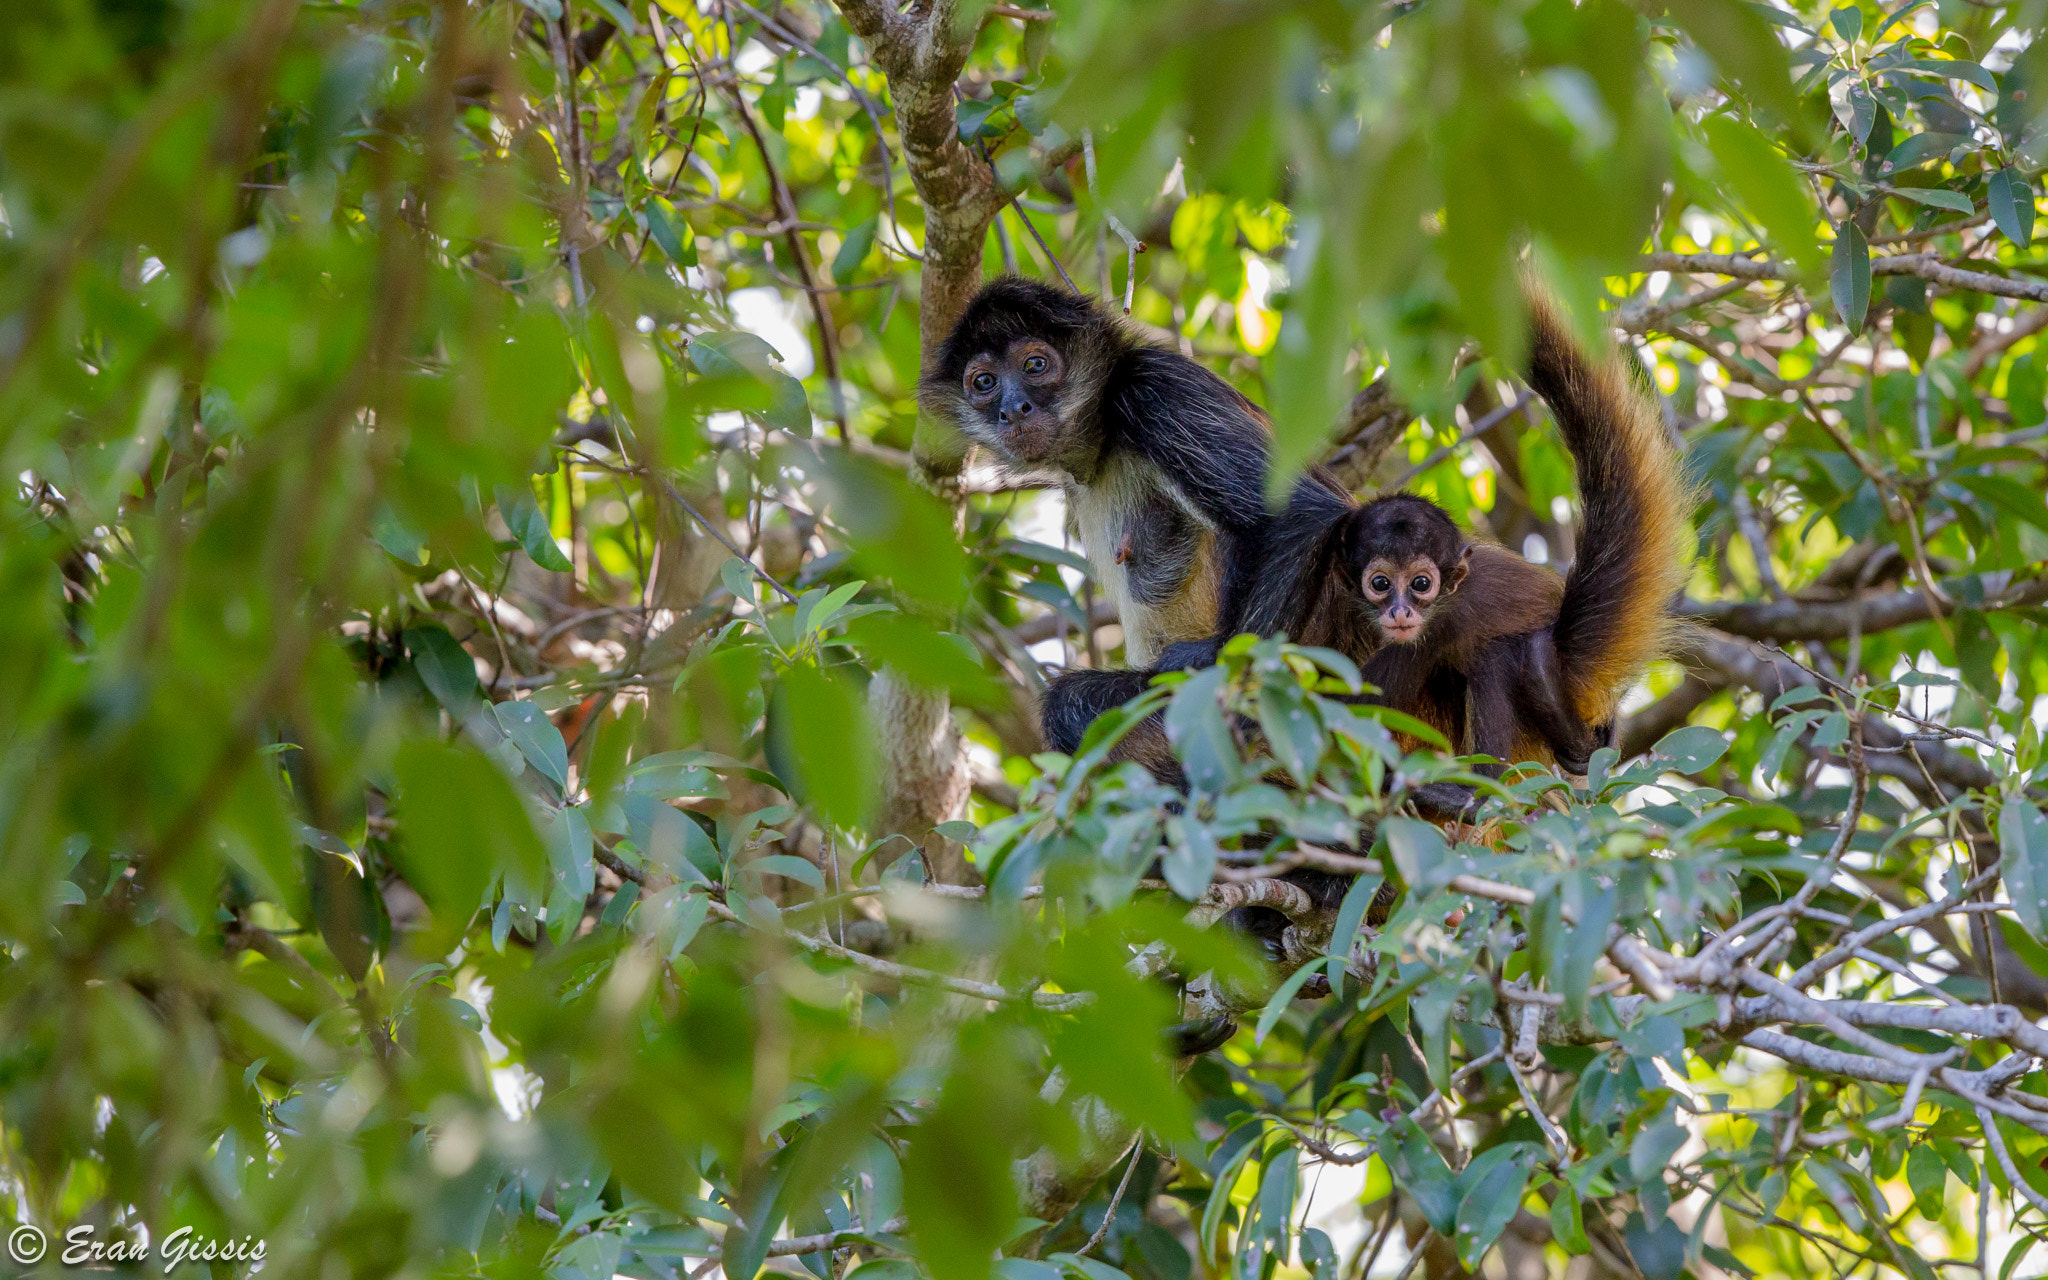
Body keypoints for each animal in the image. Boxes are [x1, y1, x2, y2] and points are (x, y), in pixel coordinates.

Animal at [920, 277, 1352, 668]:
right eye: (984, 382)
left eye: (1035, 365)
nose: (1013, 409)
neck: (1103, 443)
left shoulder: (1153, 388)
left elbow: (1298, 514)